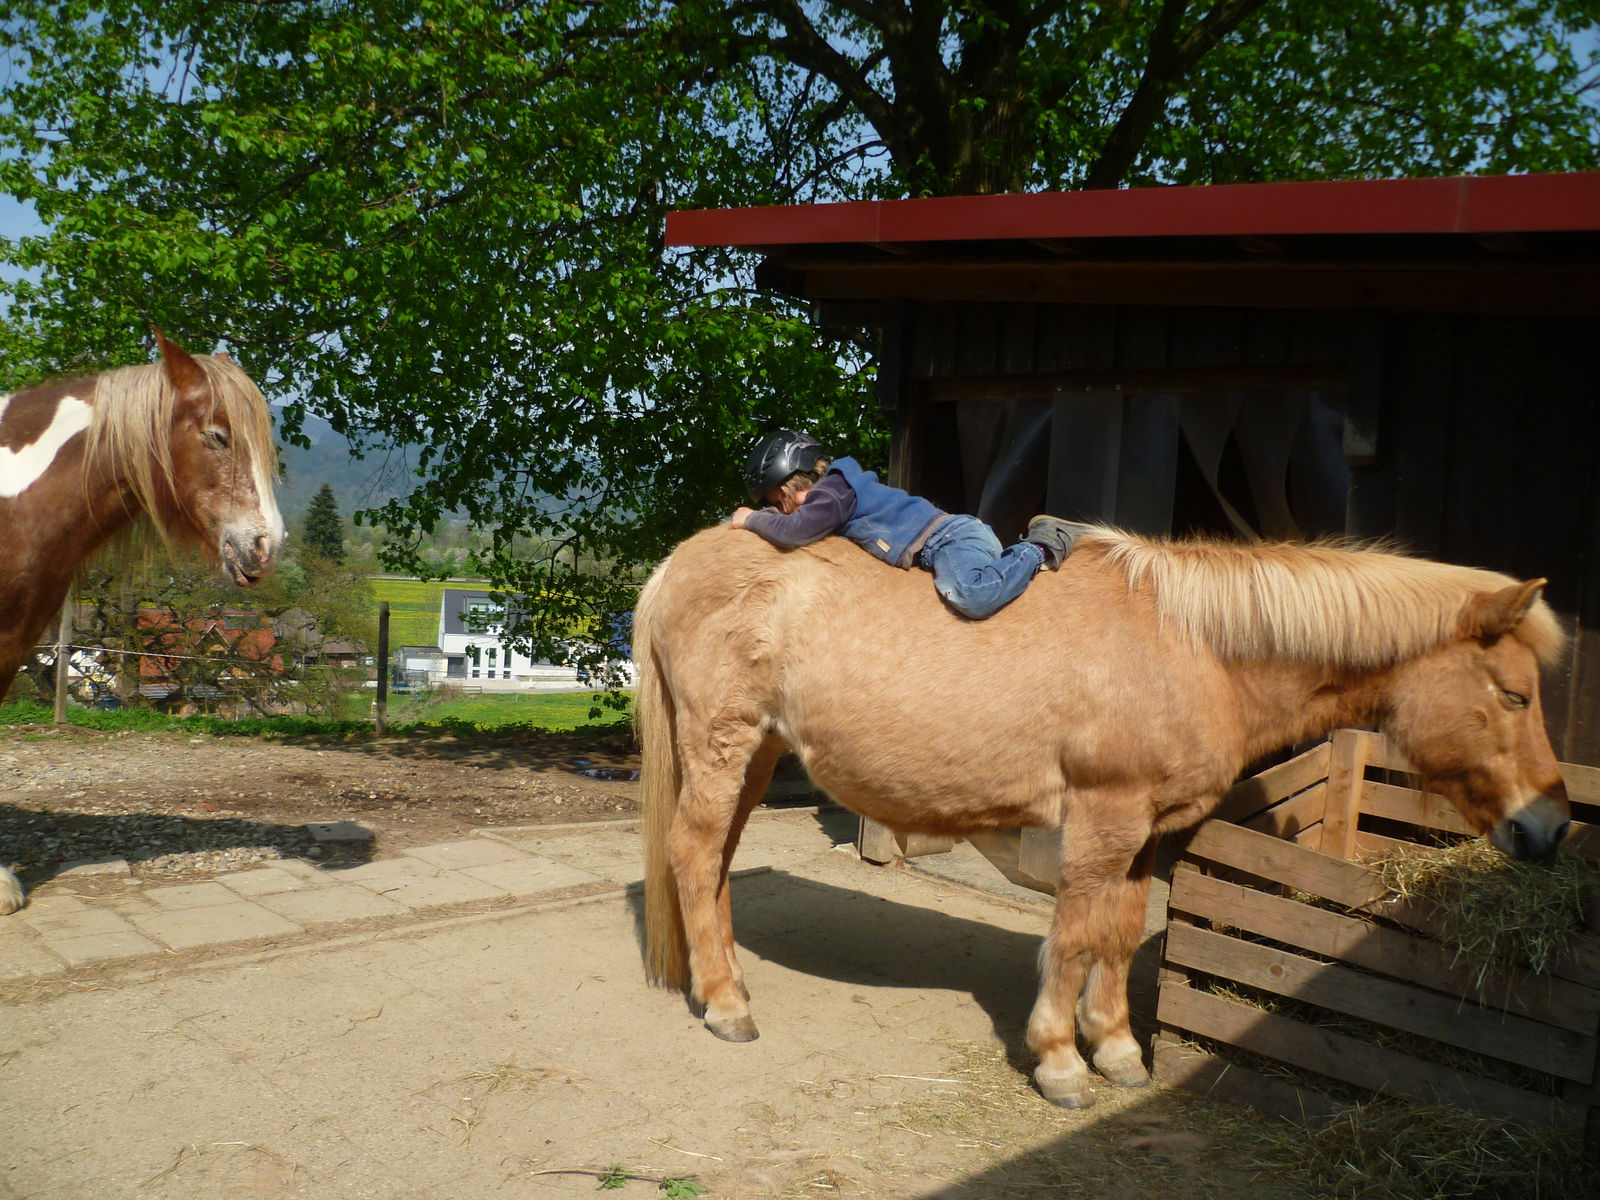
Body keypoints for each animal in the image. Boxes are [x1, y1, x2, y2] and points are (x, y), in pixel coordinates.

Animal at [636, 524, 1570, 1109]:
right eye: (1513, 694)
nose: (1552, 828)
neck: (1195, 650)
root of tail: (678, 562)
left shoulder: (1150, 831)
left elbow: (1118, 936)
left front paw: (1117, 1049)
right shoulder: (1104, 819)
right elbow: (1077, 935)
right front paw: (1059, 1062)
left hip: (758, 753)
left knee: (715, 863)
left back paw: (722, 981)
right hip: (723, 742)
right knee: (693, 852)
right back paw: (725, 1005)